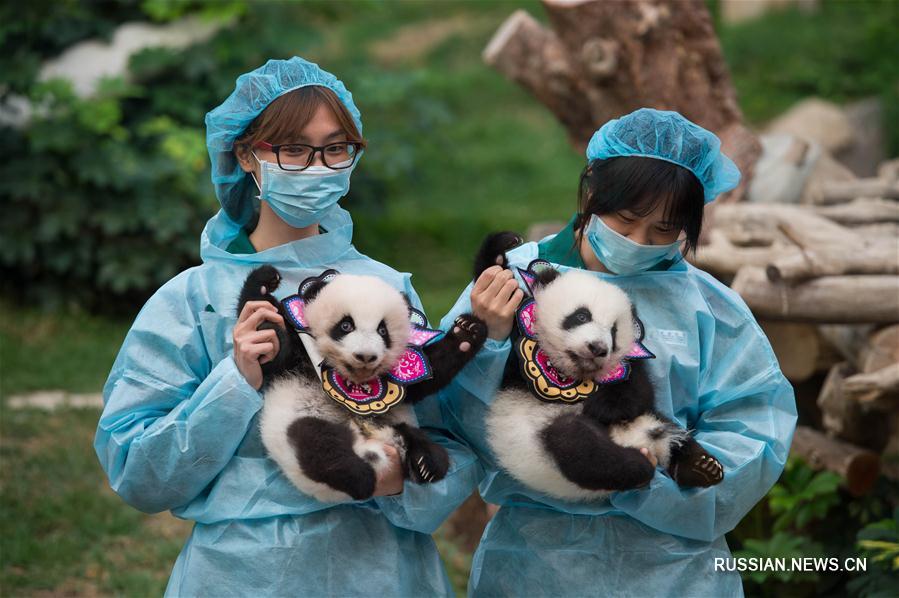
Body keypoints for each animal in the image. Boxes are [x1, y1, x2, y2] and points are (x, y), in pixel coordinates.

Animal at [232, 264, 486, 504]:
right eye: (346, 326)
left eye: (383, 330)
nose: (365, 356)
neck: (352, 376)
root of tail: (370, 445)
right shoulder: (299, 354)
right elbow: (273, 354)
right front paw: (265, 281)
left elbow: (427, 376)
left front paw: (467, 332)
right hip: (299, 421)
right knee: (318, 447)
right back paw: (361, 477)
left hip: (396, 424)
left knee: (422, 444)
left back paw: (426, 463)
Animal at [478, 233, 724, 502]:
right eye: (582, 316)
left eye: (614, 331)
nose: (597, 348)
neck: (573, 370)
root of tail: (637, 440)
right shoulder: (516, 355)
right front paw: (501, 249)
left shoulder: (627, 367)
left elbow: (638, 391)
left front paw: (602, 407)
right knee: (579, 445)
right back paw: (639, 465)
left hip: (649, 418)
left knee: (667, 429)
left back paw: (702, 466)